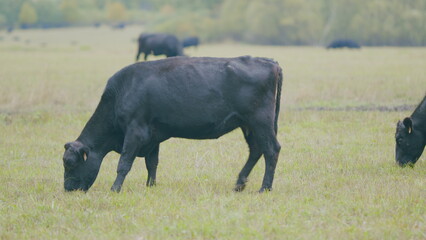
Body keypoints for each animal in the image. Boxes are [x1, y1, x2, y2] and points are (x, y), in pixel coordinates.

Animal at [62, 55, 282, 193]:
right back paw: (239, 184)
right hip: (249, 125)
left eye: (70, 163)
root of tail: (270, 62)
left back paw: (265, 188)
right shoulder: (152, 137)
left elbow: (124, 163)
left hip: (260, 122)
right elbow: (152, 163)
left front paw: (115, 189)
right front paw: (150, 186)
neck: (122, 91)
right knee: (256, 150)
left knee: (271, 150)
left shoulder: (135, 132)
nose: (67, 189)